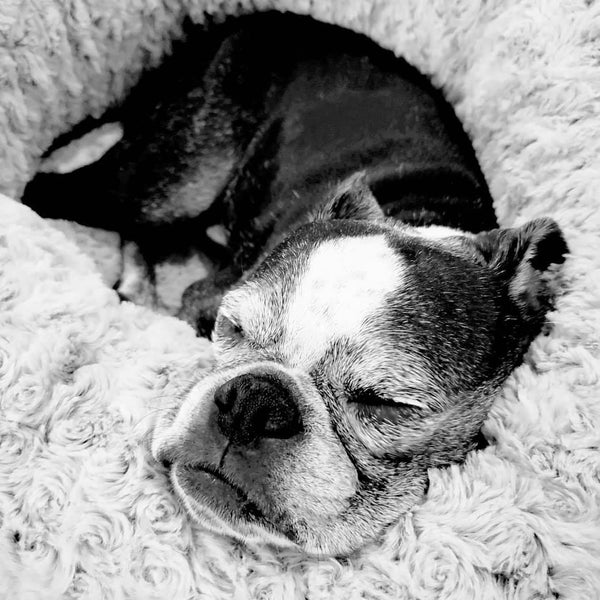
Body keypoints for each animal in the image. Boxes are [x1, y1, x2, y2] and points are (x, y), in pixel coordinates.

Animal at [23, 11, 568, 556]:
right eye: (231, 328)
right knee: (49, 189)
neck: (418, 218)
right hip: (172, 180)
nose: (253, 402)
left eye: (387, 404)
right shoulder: (203, 296)